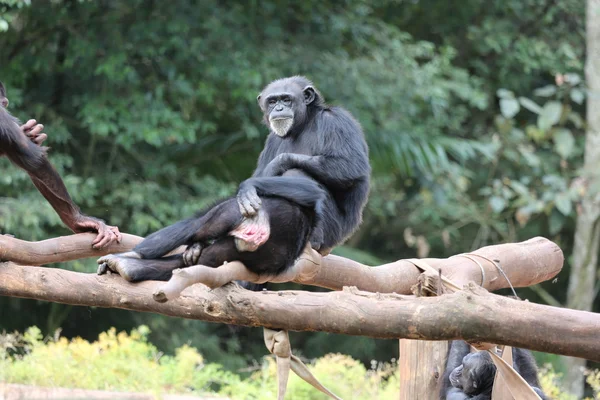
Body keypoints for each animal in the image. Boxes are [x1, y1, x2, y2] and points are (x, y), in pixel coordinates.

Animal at [97, 76, 370, 284]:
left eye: (287, 99)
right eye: (273, 101)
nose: (279, 109)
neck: (303, 123)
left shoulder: (338, 121)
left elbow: (349, 165)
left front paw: (263, 176)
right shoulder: (271, 139)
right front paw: (194, 247)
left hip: (327, 233)